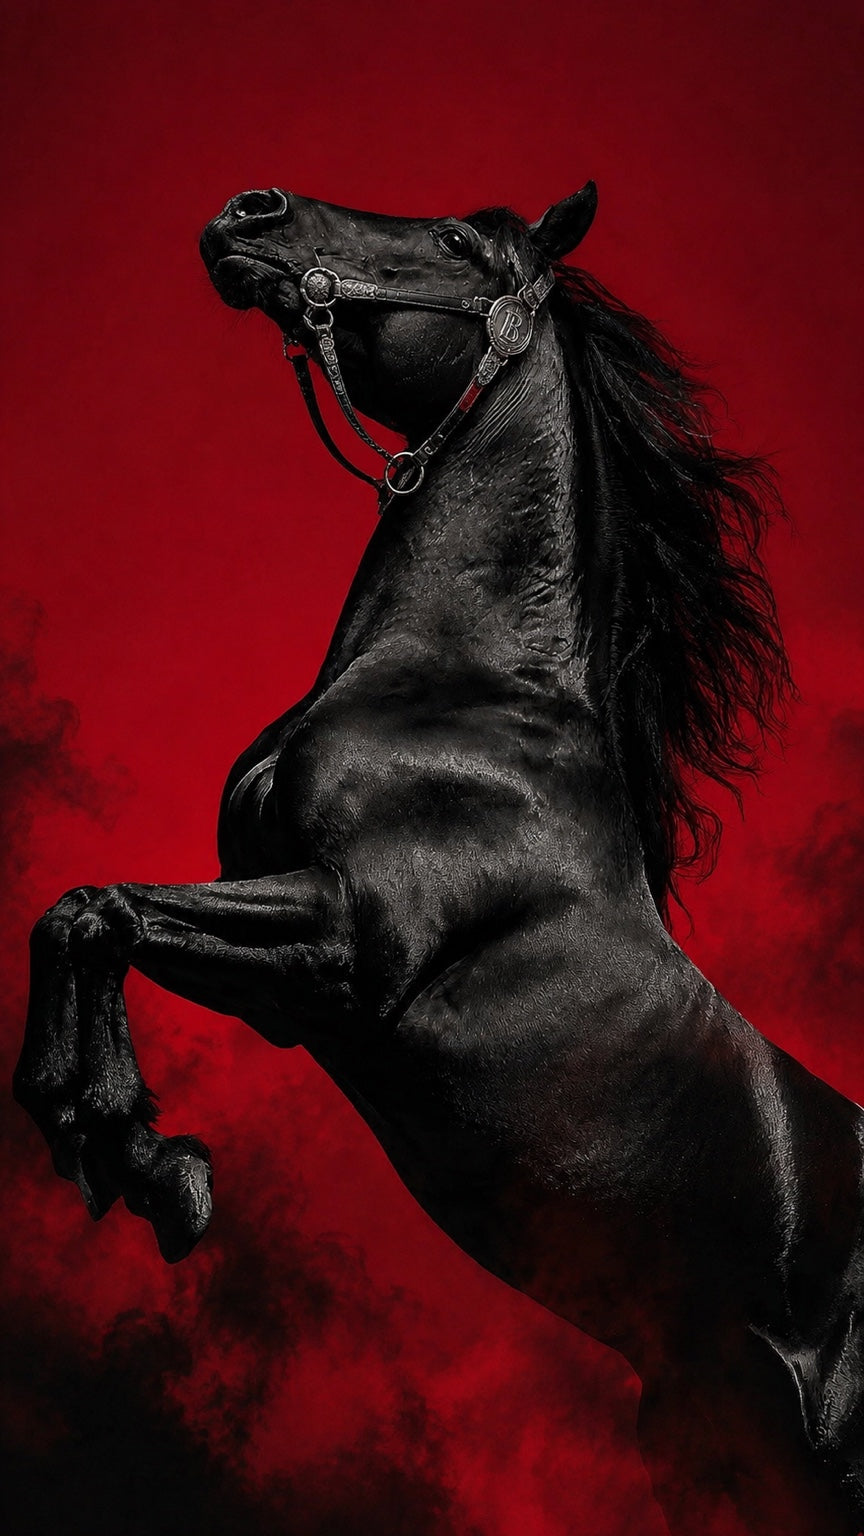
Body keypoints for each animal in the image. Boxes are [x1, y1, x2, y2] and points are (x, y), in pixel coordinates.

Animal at [14, 181, 864, 1535]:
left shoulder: (346, 945)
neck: (460, 698)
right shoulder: (283, 984)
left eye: (461, 243)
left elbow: (102, 913)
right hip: (728, 1446)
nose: (248, 211)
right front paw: (111, 1145)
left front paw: (150, 1160)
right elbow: (81, 911)